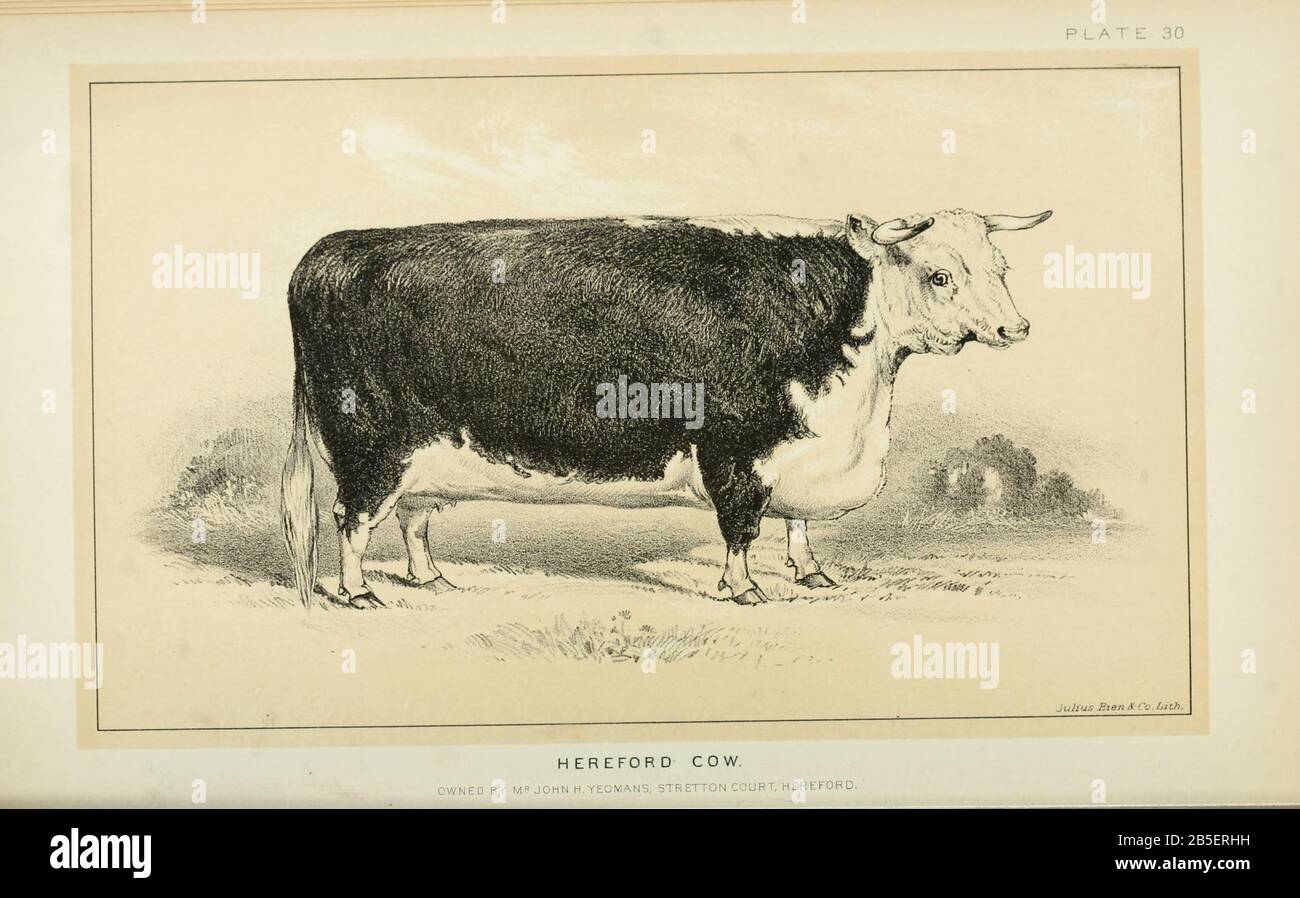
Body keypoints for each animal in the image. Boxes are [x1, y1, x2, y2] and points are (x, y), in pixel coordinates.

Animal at [281, 208, 1051, 608]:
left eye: (1001, 268)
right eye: (940, 274)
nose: (1017, 328)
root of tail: (330, 249)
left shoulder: (802, 449)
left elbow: (798, 522)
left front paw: (810, 572)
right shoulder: (737, 451)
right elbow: (741, 530)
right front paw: (744, 589)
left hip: (426, 455)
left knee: (412, 518)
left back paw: (431, 577)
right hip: (371, 445)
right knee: (350, 519)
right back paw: (357, 592)